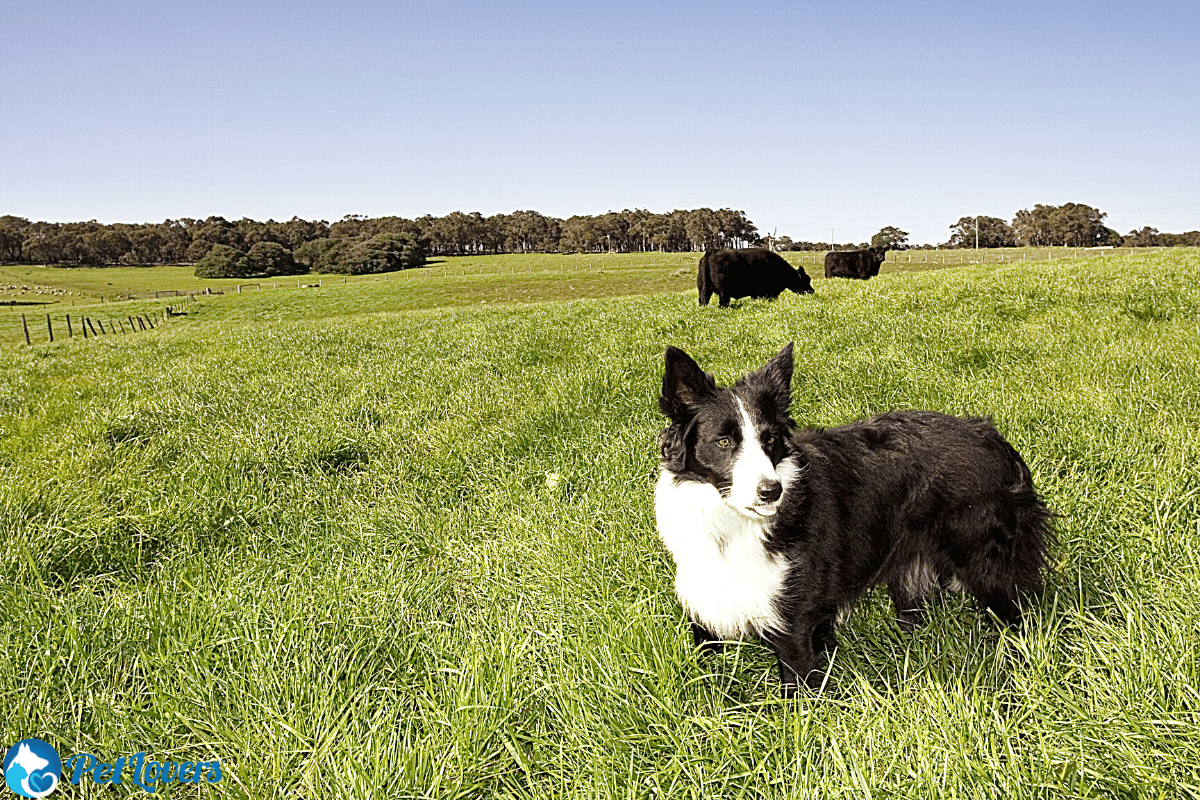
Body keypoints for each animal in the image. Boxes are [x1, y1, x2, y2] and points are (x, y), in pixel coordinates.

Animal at [657, 343, 1051, 695]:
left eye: (770, 440)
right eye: (723, 442)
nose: (772, 492)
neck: (731, 523)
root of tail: (990, 434)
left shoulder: (796, 625)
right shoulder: (703, 607)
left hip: (984, 564)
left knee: (1016, 618)